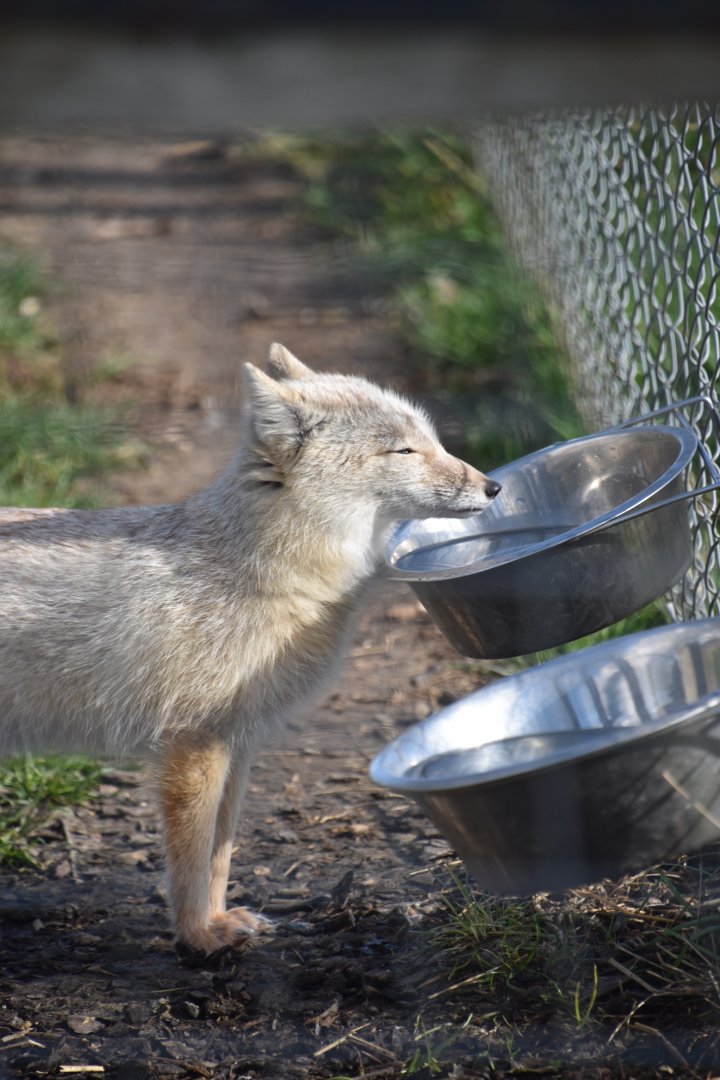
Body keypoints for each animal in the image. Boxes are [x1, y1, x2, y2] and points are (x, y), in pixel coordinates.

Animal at [0, 344, 501, 954]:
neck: (258, 572)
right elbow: (192, 862)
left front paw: (219, 922)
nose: (494, 487)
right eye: (404, 450)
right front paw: (198, 936)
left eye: (434, 441)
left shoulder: (236, 745)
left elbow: (220, 856)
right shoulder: (194, 744)